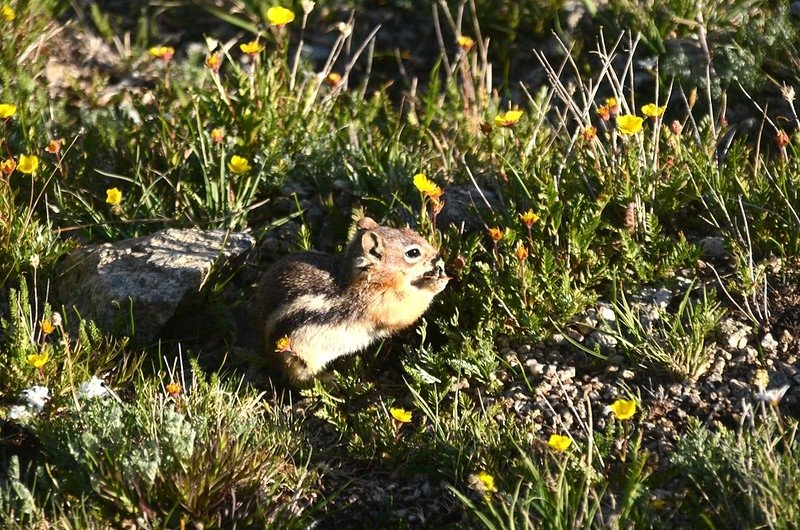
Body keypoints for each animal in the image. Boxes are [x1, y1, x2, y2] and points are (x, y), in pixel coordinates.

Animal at [255, 217, 450, 382]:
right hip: (298, 356)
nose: (438, 256)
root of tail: (265, 349)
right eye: (413, 252)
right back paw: (329, 379)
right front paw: (436, 283)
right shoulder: (383, 304)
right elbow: (408, 311)